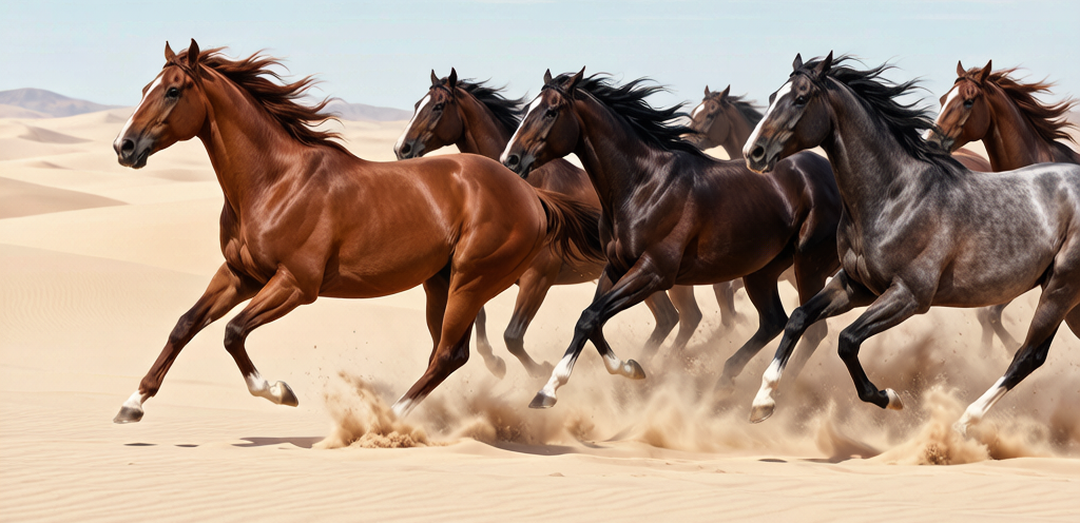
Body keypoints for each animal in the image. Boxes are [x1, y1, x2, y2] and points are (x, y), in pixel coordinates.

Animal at [110, 40, 603, 423]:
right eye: (145, 89)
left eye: (173, 91)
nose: (124, 146)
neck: (276, 181)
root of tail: (529, 191)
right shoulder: (239, 274)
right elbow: (185, 325)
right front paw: (132, 403)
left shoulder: (296, 284)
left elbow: (233, 332)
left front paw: (280, 392)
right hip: (440, 282)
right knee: (449, 353)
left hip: (473, 279)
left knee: (450, 353)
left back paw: (391, 418)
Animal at [392, 70, 710, 376]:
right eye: (416, 104)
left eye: (438, 106)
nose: (401, 149)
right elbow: (478, 318)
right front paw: (494, 363)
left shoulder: (539, 276)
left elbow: (512, 337)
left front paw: (537, 371)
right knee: (674, 318)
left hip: (657, 276)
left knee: (680, 317)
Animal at [500, 69, 843, 409]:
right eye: (529, 107)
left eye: (551, 111)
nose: (510, 159)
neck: (645, 185)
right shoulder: (615, 267)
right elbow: (593, 320)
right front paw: (632, 368)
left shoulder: (655, 272)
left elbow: (589, 317)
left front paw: (548, 390)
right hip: (761, 270)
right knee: (773, 321)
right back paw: (726, 381)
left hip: (806, 265)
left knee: (809, 327)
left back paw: (773, 395)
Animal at [743, 53, 1080, 434]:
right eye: (773, 97)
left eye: (801, 98)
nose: (753, 153)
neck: (896, 196)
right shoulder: (858, 285)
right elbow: (799, 318)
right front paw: (762, 401)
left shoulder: (910, 296)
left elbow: (847, 341)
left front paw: (889, 398)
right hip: (1069, 301)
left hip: (1060, 290)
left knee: (1027, 356)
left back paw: (962, 423)